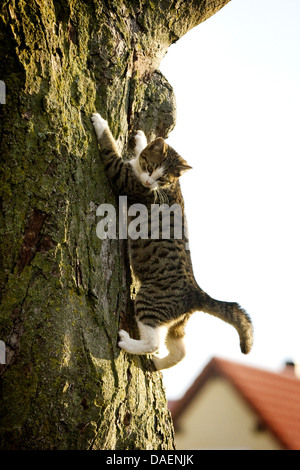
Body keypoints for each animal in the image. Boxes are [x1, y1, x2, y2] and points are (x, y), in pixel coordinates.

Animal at [91, 112, 253, 370]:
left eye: (162, 178)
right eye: (150, 168)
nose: (149, 183)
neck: (171, 185)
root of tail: (196, 292)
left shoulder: (123, 176)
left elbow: (110, 149)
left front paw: (100, 123)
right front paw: (141, 139)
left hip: (150, 302)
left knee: (154, 342)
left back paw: (128, 343)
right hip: (178, 323)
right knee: (181, 351)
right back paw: (158, 364)